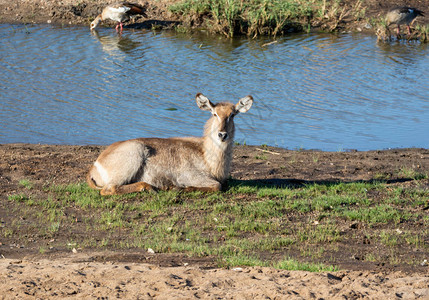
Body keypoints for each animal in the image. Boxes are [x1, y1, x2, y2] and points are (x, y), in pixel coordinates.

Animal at [88, 94, 254, 197]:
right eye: (214, 114)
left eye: (232, 115)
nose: (222, 135)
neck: (207, 156)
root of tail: (95, 166)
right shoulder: (190, 175)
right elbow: (217, 186)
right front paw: (180, 188)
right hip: (135, 154)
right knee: (109, 189)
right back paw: (152, 187)